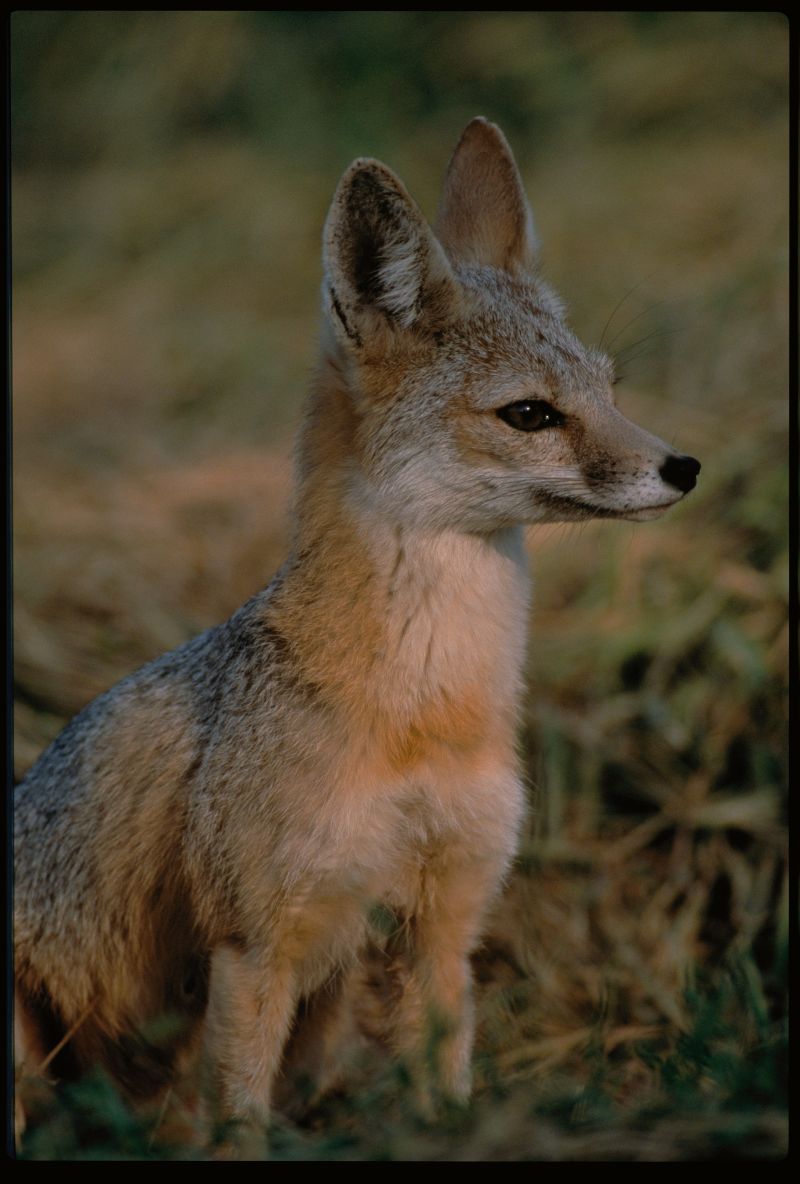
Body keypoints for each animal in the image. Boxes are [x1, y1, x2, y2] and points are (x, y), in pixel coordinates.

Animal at [14, 117, 700, 1127]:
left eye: (611, 389)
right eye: (531, 414)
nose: (684, 468)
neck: (424, 712)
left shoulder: (444, 924)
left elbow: (444, 1090)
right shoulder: (257, 943)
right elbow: (240, 1124)